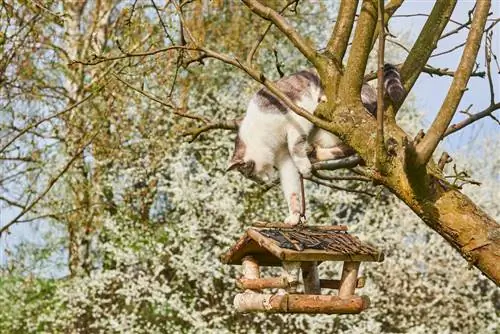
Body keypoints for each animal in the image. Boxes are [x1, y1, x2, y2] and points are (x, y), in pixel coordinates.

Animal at [229, 64, 404, 226]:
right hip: (329, 135)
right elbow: (292, 188)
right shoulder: (284, 158)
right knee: (349, 147)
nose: (261, 182)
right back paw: (315, 154)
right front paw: (294, 217)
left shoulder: (299, 116)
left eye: (251, 174)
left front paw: (305, 168)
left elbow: (294, 145)